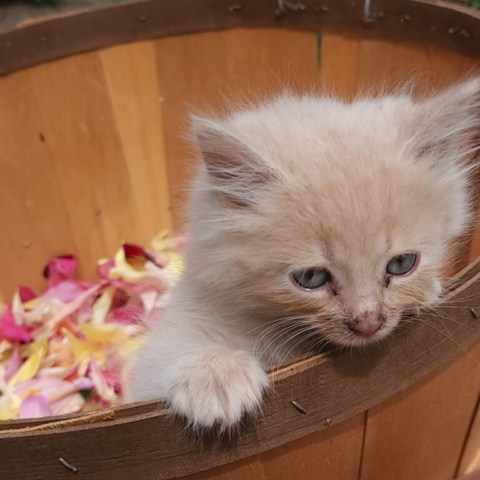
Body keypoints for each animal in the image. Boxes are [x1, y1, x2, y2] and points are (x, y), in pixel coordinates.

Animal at [126, 78, 480, 432]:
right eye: (311, 278)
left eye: (401, 264)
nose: (368, 324)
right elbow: (170, 353)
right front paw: (217, 373)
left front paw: (428, 290)